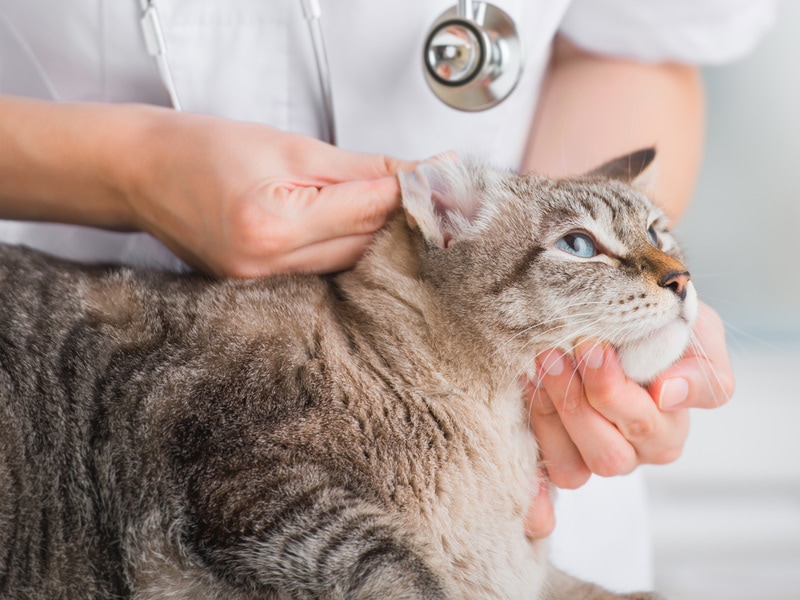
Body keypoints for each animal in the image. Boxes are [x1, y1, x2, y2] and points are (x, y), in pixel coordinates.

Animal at [0, 146, 692, 600]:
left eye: (659, 233)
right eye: (579, 246)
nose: (682, 280)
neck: (500, 443)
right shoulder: (263, 495)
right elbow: (406, 577)